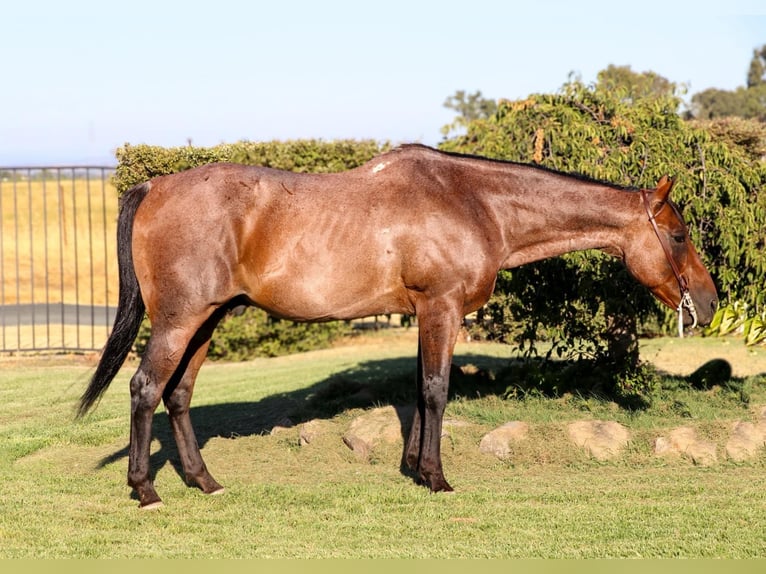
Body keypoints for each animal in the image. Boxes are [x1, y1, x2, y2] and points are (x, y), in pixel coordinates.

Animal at [78, 144, 718, 508]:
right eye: (678, 235)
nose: (709, 305)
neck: (474, 202)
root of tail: (153, 185)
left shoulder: (422, 314)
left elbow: (417, 390)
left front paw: (413, 468)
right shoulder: (442, 308)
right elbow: (436, 390)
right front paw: (435, 478)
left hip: (205, 321)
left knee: (178, 394)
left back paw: (204, 483)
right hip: (180, 321)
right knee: (145, 389)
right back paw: (146, 491)